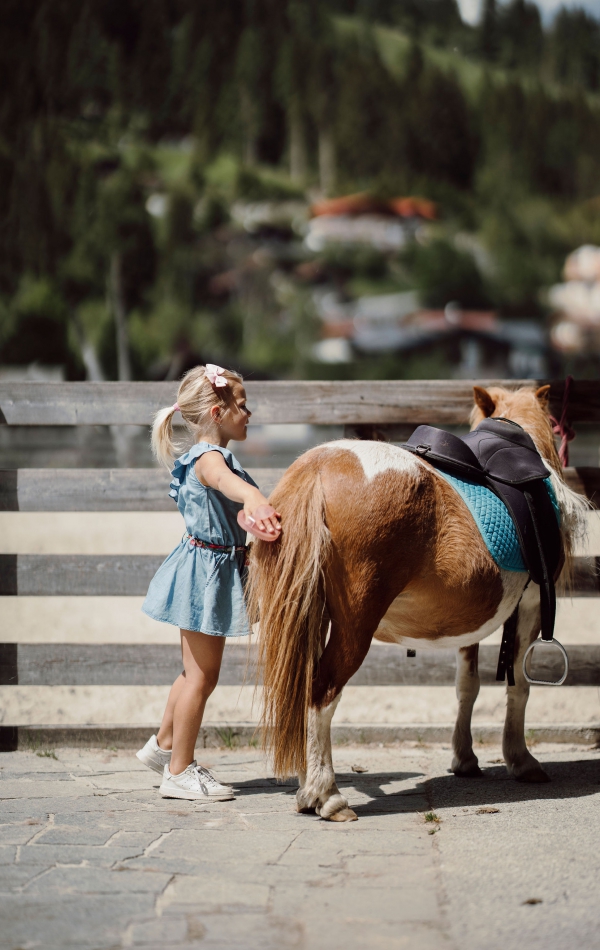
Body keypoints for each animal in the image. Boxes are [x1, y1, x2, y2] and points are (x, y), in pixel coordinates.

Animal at [246, 384, 588, 820]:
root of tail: (318, 467)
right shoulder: (528, 607)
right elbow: (519, 685)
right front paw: (521, 760)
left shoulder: (471, 619)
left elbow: (467, 686)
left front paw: (465, 758)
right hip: (355, 626)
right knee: (322, 692)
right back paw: (327, 795)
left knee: (305, 690)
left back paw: (309, 790)